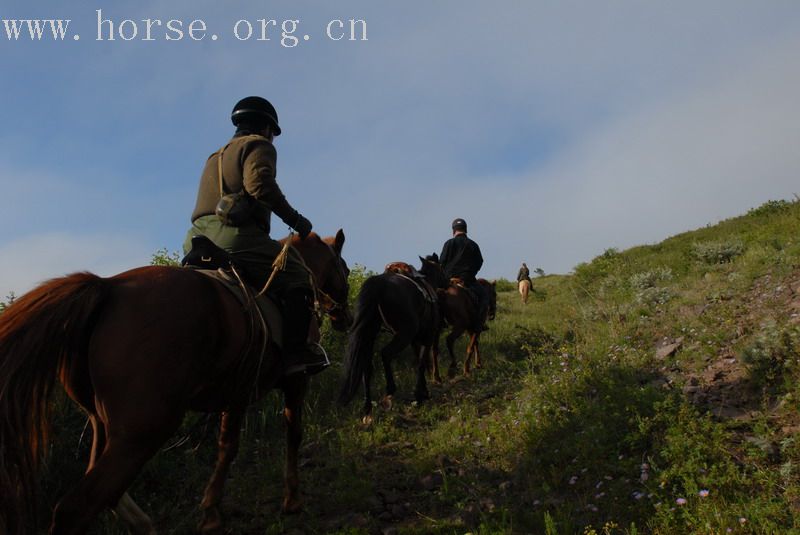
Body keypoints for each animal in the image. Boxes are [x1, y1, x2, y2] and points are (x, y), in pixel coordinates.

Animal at [0, 230, 350, 535]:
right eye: (344, 269)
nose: (343, 318)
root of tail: (108, 287)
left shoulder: (237, 393)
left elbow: (227, 446)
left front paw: (211, 511)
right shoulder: (296, 383)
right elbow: (292, 435)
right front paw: (292, 500)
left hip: (103, 423)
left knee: (103, 488)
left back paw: (142, 523)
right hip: (144, 429)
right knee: (77, 507)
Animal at [340, 253, 450, 420]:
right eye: (442, 269)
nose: (449, 282)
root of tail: (378, 284)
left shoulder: (415, 341)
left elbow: (420, 361)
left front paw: (423, 391)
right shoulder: (427, 337)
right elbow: (422, 363)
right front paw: (419, 395)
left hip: (370, 334)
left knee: (366, 366)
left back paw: (367, 408)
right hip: (403, 334)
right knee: (386, 354)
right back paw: (389, 392)